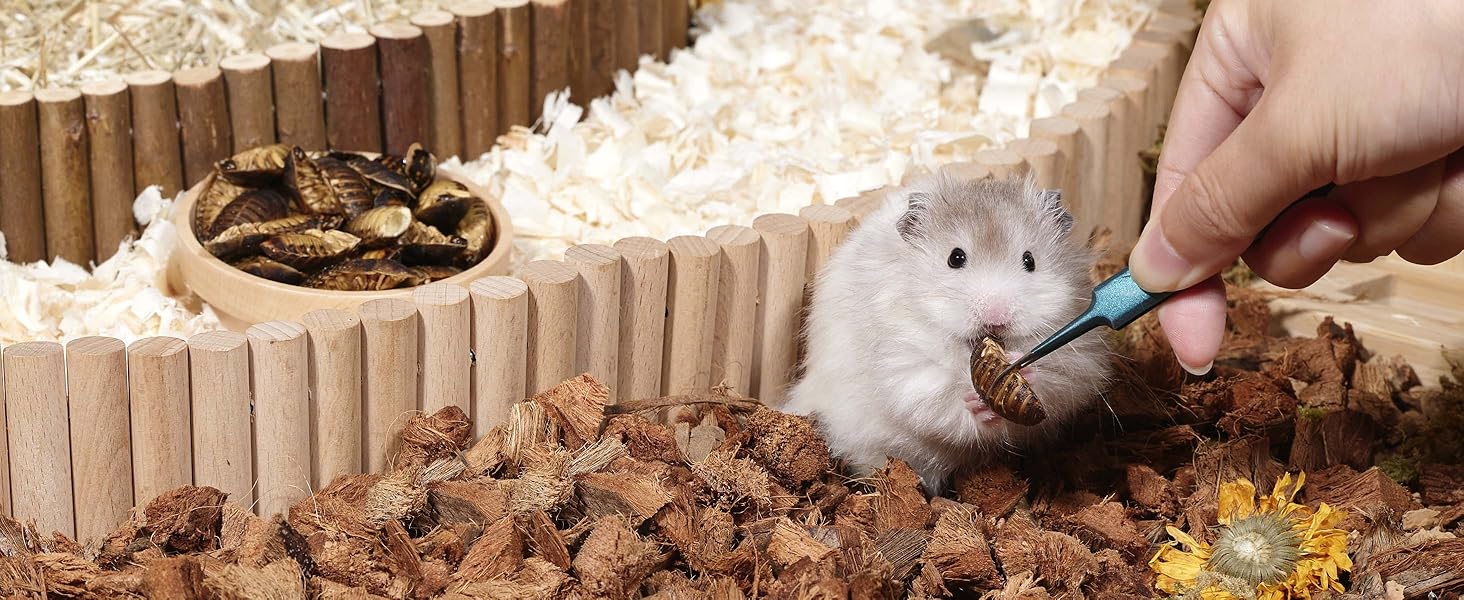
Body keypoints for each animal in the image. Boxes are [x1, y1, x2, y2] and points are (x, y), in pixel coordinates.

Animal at [782, 171, 1112, 495]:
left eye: (1029, 260)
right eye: (956, 258)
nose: (996, 318)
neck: (965, 352)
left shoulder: (1079, 359)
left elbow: (1055, 387)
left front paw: (1026, 373)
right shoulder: (906, 370)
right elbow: (941, 403)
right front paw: (976, 403)